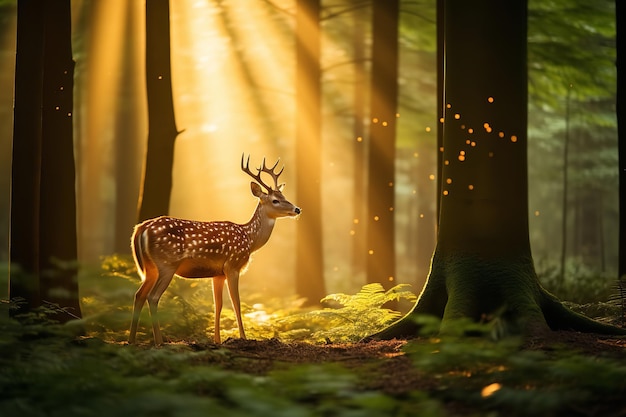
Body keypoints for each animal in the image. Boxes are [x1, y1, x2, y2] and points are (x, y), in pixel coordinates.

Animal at [128, 154, 298, 342]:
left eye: (284, 195)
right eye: (275, 200)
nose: (297, 209)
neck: (249, 239)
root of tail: (141, 228)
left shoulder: (218, 274)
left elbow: (218, 305)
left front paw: (217, 340)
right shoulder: (232, 265)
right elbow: (236, 303)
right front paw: (243, 338)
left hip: (150, 268)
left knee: (139, 295)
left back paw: (131, 341)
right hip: (167, 264)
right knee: (153, 297)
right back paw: (159, 342)